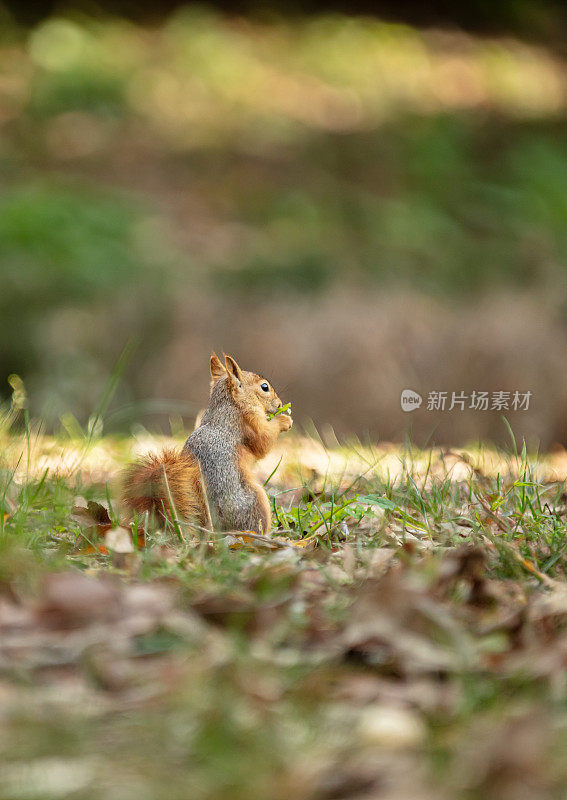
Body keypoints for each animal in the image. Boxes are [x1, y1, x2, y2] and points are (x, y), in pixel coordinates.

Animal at [123, 354, 292, 536]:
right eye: (264, 387)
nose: (280, 404)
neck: (230, 404)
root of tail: (212, 528)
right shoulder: (249, 423)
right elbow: (263, 441)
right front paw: (284, 420)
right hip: (256, 500)